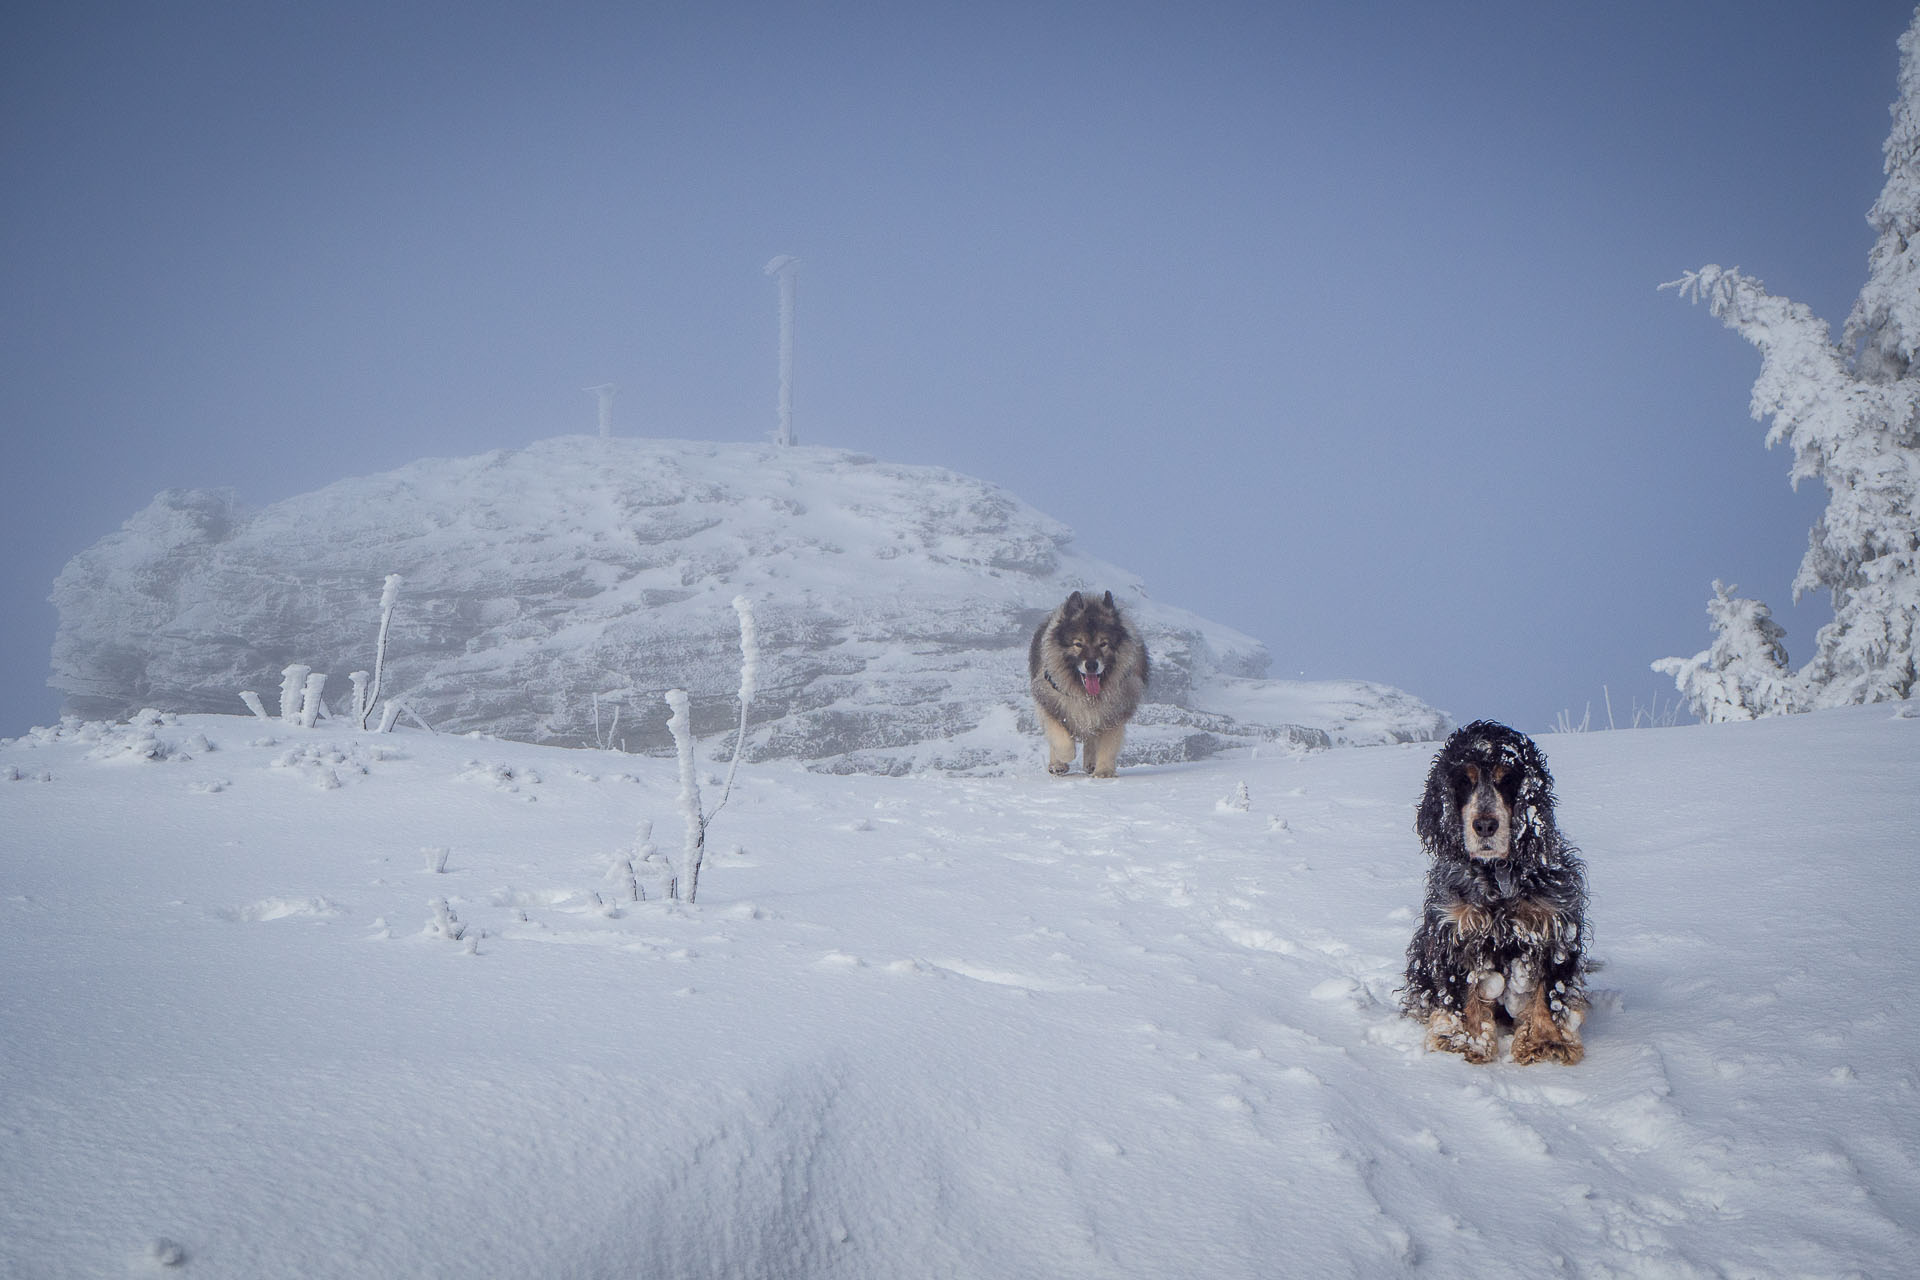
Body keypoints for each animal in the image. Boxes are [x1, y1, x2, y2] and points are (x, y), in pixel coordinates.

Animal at [1397, 717, 1589, 1066]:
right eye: (1464, 780)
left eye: (1508, 778)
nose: (1485, 825)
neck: (1495, 876)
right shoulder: (1456, 928)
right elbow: (1464, 989)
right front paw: (1466, 1042)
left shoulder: (1553, 923)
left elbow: (1549, 989)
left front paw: (1547, 1042)